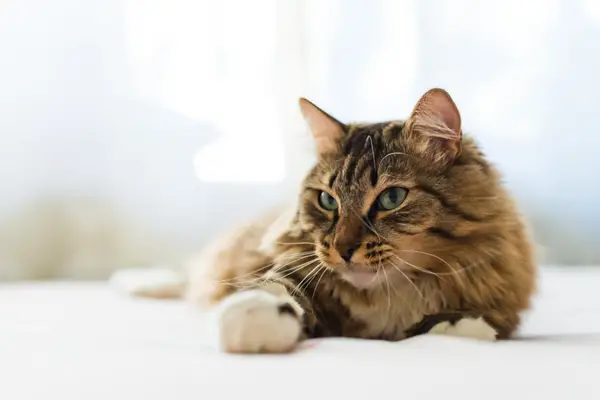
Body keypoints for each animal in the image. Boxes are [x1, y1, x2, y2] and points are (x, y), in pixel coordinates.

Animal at [116, 87, 536, 354]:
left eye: (392, 198)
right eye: (327, 200)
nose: (343, 249)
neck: (387, 295)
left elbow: (464, 322)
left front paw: (461, 326)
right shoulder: (292, 270)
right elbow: (274, 290)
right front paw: (250, 320)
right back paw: (135, 283)